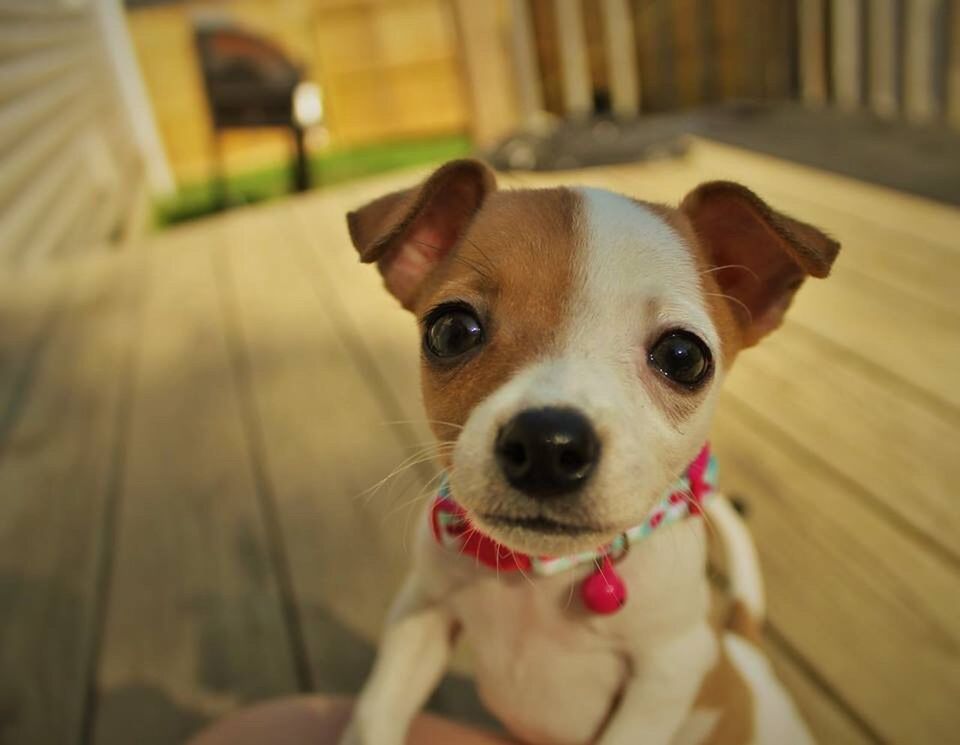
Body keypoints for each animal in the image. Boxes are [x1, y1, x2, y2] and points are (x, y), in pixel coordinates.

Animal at [342, 158, 836, 744]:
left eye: (683, 356)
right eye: (452, 330)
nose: (547, 444)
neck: (542, 577)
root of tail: (743, 647)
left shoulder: (669, 671)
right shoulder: (422, 615)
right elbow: (376, 713)